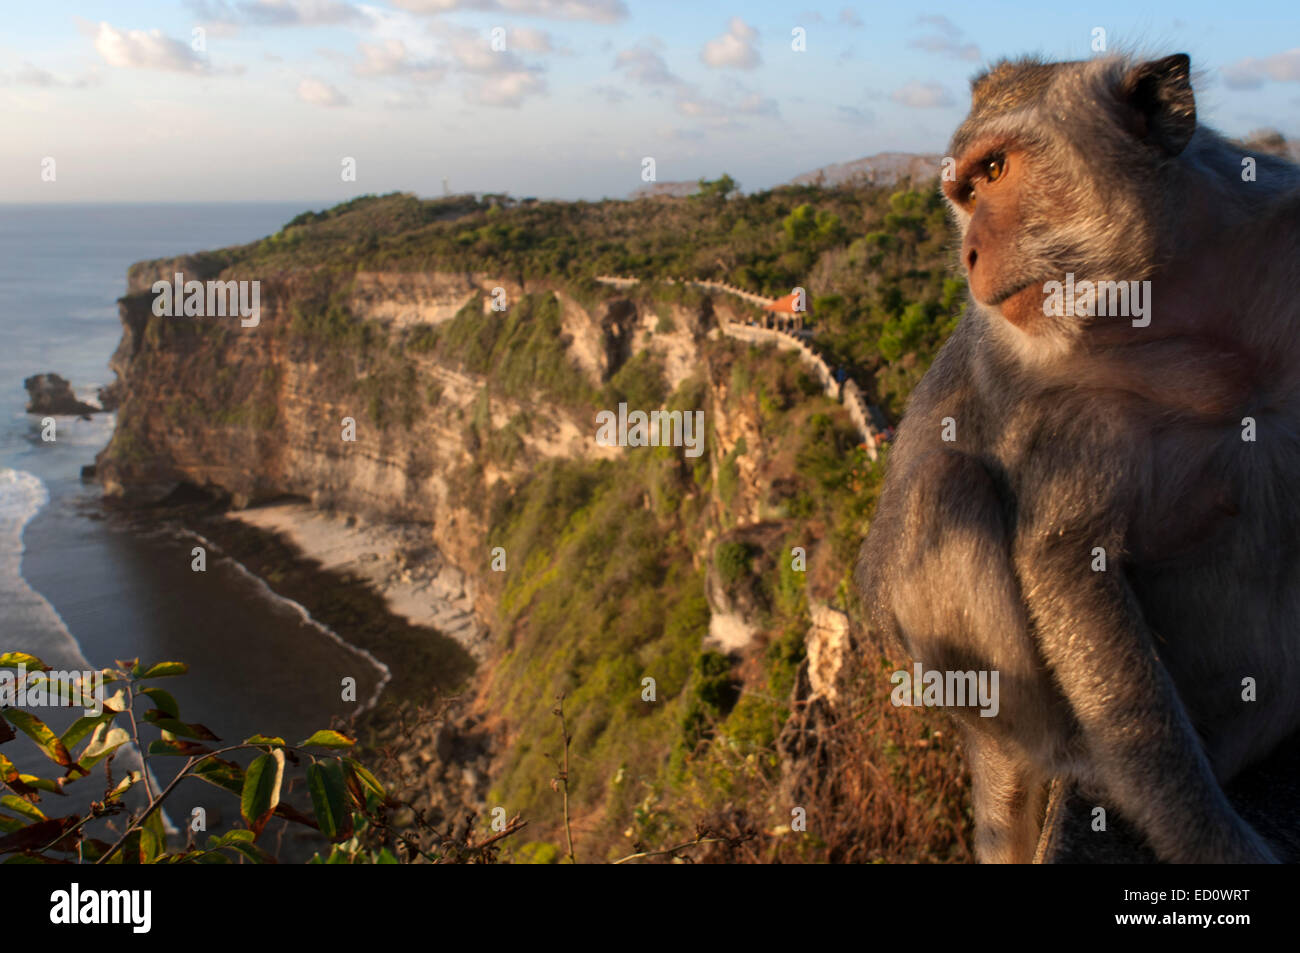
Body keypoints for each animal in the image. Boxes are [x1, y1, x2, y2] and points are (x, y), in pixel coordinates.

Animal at [852, 52, 1300, 863]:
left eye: (995, 169)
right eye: (966, 193)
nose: (969, 252)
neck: (1181, 312)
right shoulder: (1058, 393)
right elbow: (1066, 558)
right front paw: (1215, 843)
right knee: (946, 486)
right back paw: (1076, 759)